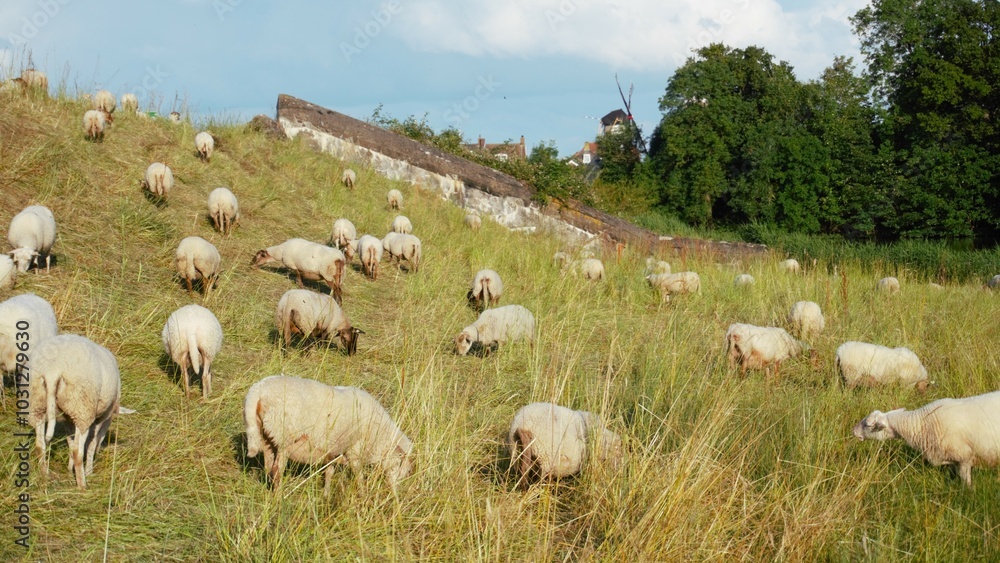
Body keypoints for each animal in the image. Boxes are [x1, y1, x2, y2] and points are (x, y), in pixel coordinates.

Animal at [26, 334, 120, 489]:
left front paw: (70, 470)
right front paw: (88, 471)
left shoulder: (68, 419)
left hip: (37, 403)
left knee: (40, 445)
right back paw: (82, 485)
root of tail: (52, 369)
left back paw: (45, 476)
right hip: (82, 407)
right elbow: (91, 443)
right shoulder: (101, 418)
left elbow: (70, 441)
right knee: (77, 451)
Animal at [243, 375, 413, 494]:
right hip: (284, 438)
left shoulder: (333, 449)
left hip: (266, 436)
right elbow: (358, 474)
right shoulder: (354, 448)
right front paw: (363, 494)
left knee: (269, 468)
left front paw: (326, 493)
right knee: (277, 472)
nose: (395, 492)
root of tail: (258, 390)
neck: (380, 434)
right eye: (401, 464)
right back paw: (279, 498)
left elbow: (329, 472)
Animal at [852, 390, 1000, 487]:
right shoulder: (952, 458)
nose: (853, 431)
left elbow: (965, 480)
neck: (919, 424)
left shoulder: (964, 456)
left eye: (867, 424)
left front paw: (967, 493)